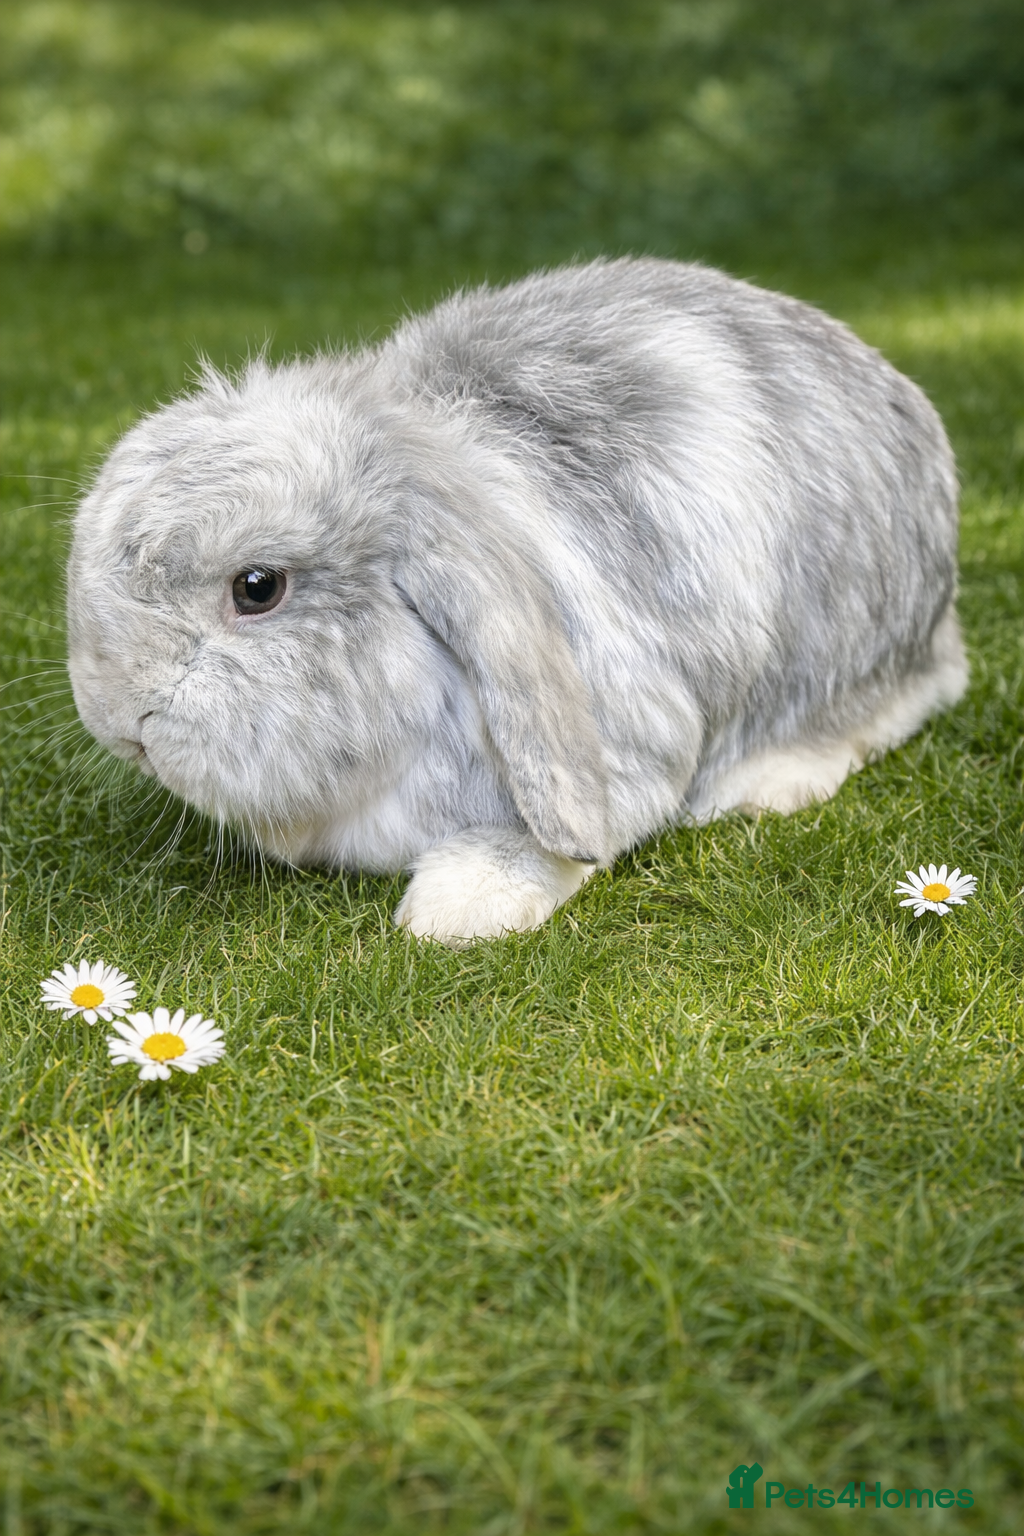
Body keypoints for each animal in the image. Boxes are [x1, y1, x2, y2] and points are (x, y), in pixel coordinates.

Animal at [67, 256, 967, 943]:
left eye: (257, 589)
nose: (123, 724)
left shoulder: (618, 743)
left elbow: (542, 840)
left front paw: (453, 912)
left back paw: (764, 783)